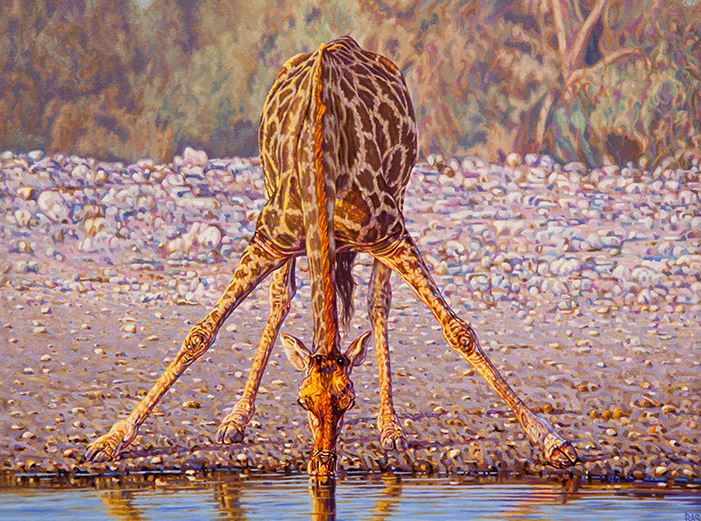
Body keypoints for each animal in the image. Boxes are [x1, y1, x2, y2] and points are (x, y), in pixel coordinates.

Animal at [85, 36, 578, 477]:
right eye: (302, 400)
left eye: (349, 401)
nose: (322, 467)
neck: (322, 165)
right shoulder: (269, 237)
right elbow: (200, 334)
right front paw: (110, 440)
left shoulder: (390, 234)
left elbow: (459, 332)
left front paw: (552, 441)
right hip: (274, 200)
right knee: (282, 299)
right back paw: (237, 418)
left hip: (399, 196)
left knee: (378, 304)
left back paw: (390, 426)